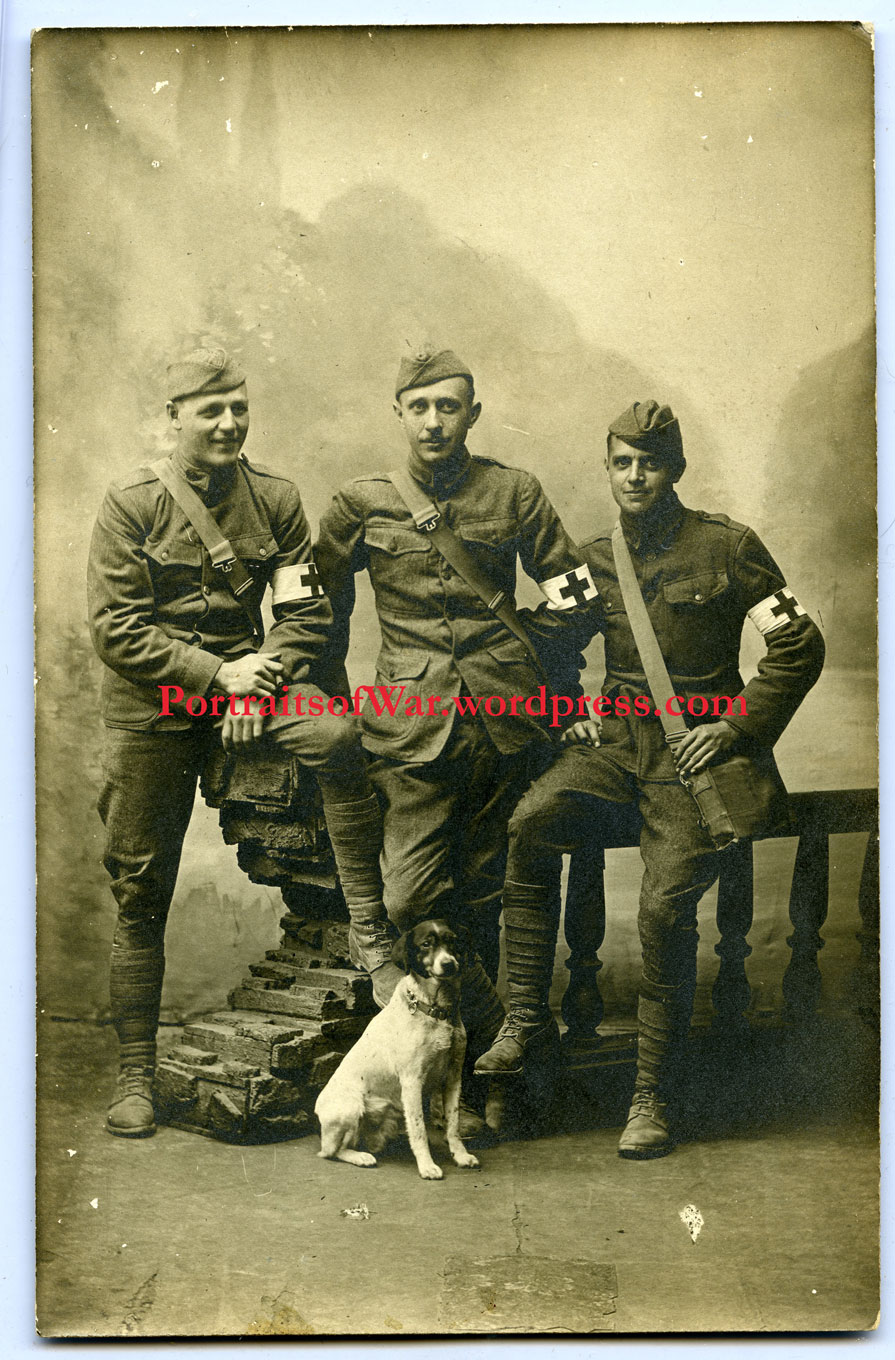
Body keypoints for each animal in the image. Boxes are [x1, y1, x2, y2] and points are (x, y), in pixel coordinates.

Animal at [315, 919, 480, 1180]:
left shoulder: (453, 1077)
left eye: (452, 941)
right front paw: (427, 1165)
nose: (448, 964)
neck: (436, 1011)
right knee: (332, 1151)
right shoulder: (412, 1082)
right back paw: (361, 1157)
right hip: (350, 1108)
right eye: (426, 944)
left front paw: (460, 1155)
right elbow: (419, 1129)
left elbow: (453, 1123)